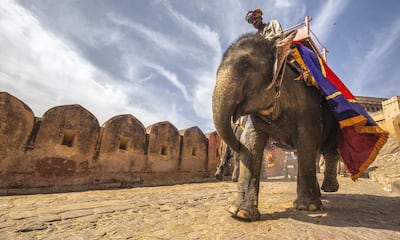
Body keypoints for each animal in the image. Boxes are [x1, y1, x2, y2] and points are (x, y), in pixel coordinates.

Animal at [211, 31, 340, 221]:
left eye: (244, 64)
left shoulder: (308, 109)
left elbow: (307, 143)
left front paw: (308, 207)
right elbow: (251, 142)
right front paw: (240, 213)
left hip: (333, 118)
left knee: (328, 150)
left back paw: (328, 189)